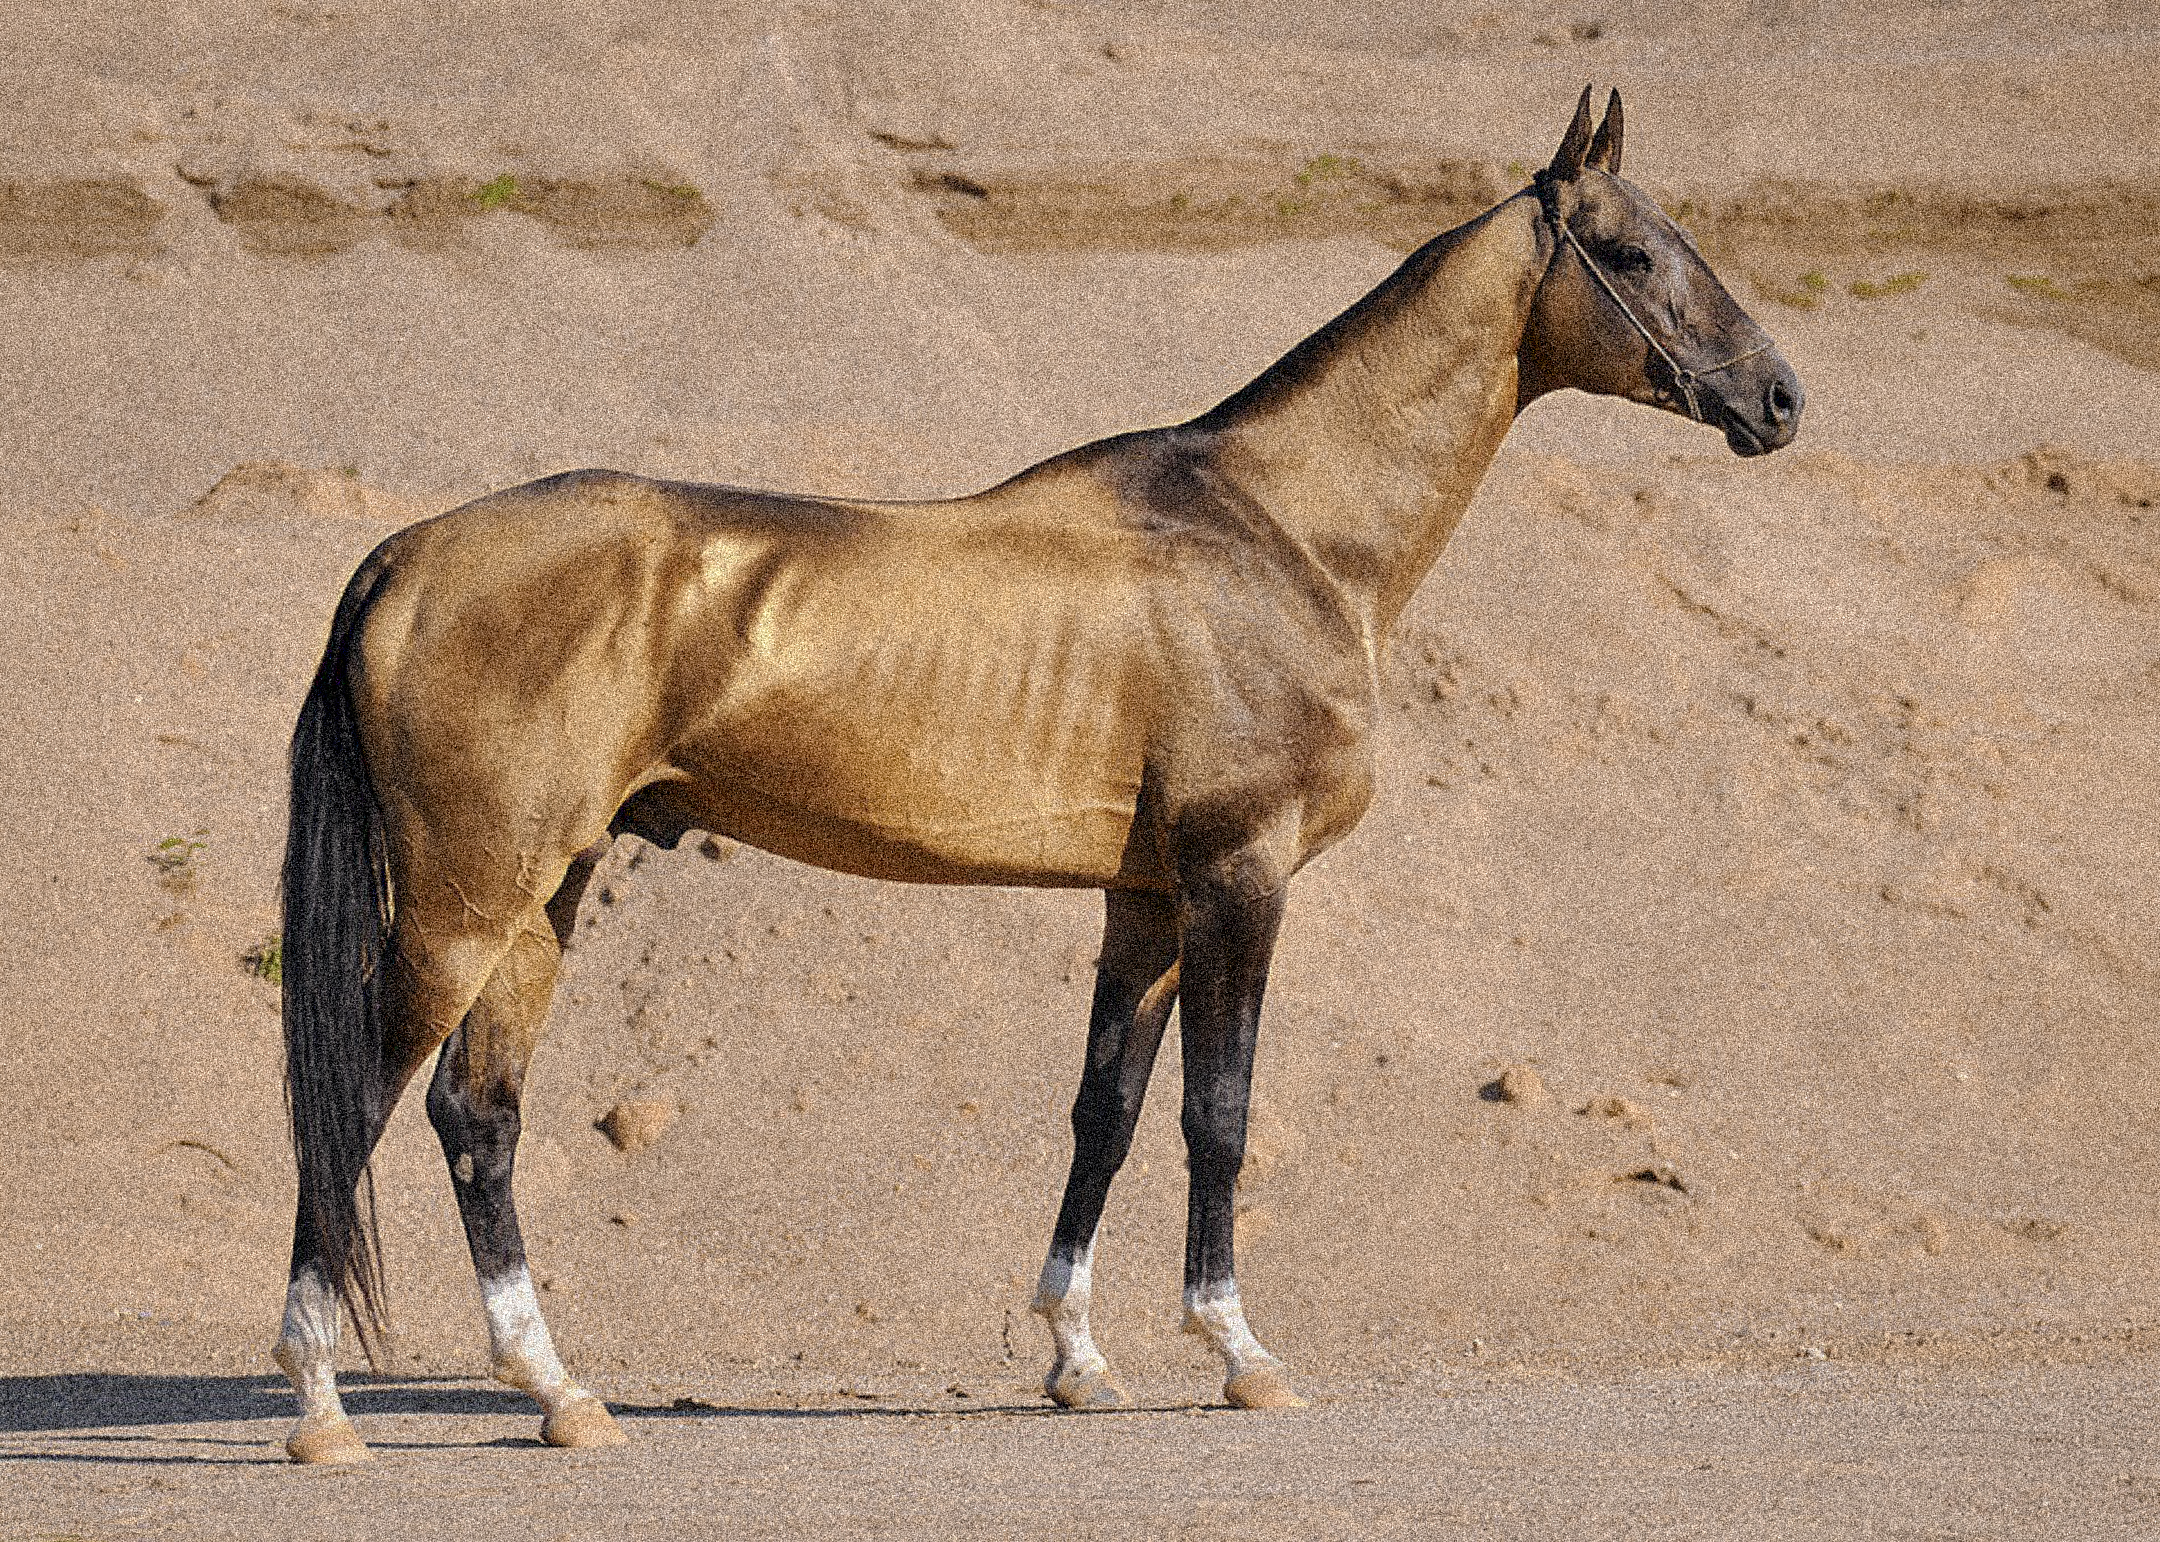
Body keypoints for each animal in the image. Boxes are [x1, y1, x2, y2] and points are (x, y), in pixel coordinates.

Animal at [271, 86, 1803, 1463]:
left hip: (547, 891)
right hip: (469, 902)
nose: (1780, 398)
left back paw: (560, 1394)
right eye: (1637, 252)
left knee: (477, 1113)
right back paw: (323, 1408)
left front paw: (1077, 1358)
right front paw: (1239, 1352)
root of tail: (404, 555)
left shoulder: (1147, 900)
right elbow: (1217, 1115)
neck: (1280, 532)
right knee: (357, 1101)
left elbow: (1105, 1113)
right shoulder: (1239, 876)